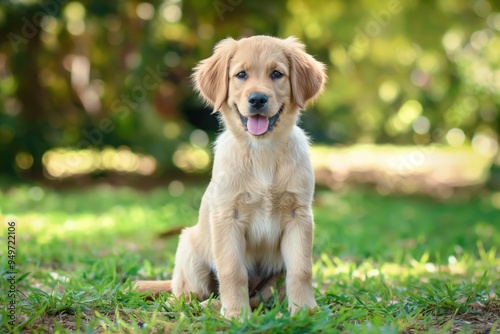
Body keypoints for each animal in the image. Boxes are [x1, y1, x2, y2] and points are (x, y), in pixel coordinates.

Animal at [135, 35, 326, 320]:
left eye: (277, 74)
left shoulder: (299, 215)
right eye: (241, 75)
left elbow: (302, 269)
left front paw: (305, 311)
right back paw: (194, 304)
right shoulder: (227, 216)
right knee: (189, 293)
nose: (257, 99)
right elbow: (232, 271)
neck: (262, 152)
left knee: (259, 296)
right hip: (189, 246)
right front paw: (236, 313)